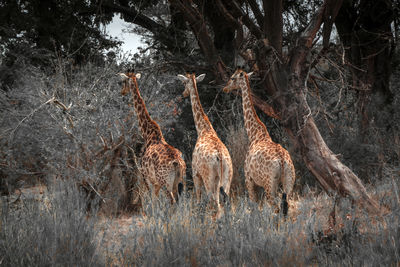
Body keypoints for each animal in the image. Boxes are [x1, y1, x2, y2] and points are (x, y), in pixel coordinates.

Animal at [119, 70, 187, 204]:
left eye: (124, 81)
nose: (122, 92)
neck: (148, 134)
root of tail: (177, 163)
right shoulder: (155, 183)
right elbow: (155, 201)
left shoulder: (146, 178)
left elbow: (151, 202)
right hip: (181, 181)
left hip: (165, 182)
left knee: (172, 201)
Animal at [177, 73, 233, 211]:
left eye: (184, 83)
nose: (183, 93)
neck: (204, 129)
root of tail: (220, 158)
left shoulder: (196, 174)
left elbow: (198, 200)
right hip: (227, 178)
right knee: (226, 203)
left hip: (210, 179)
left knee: (215, 203)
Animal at [223, 68, 296, 216]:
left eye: (232, 78)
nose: (225, 88)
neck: (254, 134)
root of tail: (282, 161)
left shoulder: (249, 180)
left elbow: (254, 206)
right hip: (289, 182)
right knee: (287, 208)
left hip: (270, 185)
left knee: (276, 208)